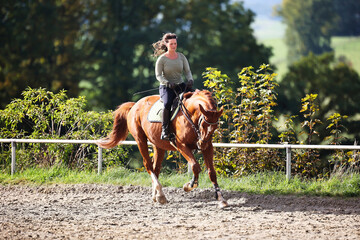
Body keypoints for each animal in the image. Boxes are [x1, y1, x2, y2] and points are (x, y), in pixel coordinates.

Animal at [98, 89, 228, 207]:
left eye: (216, 126)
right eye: (203, 124)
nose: (201, 144)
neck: (191, 116)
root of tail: (135, 105)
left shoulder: (208, 147)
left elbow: (212, 172)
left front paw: (221, 199)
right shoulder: (181, 145)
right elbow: (195, 166)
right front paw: (189, 186)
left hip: (158, 145)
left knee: (156, 168)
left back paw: (156, 196)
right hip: (140, 140)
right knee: (148, 165)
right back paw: (161, 195)